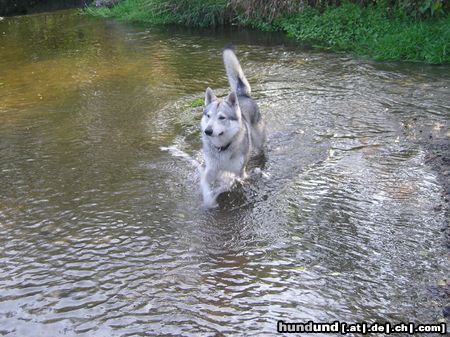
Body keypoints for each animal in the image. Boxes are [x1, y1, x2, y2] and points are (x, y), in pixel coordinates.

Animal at [200, 43, 264, 206]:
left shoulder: (239, 174)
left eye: (222, 117)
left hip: (259, 143)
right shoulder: (211, 171)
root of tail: (242, 95)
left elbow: (229, 184)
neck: (222, 148)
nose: (207, 131)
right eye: (208, 116)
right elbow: (205, 185)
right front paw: (209, 201)